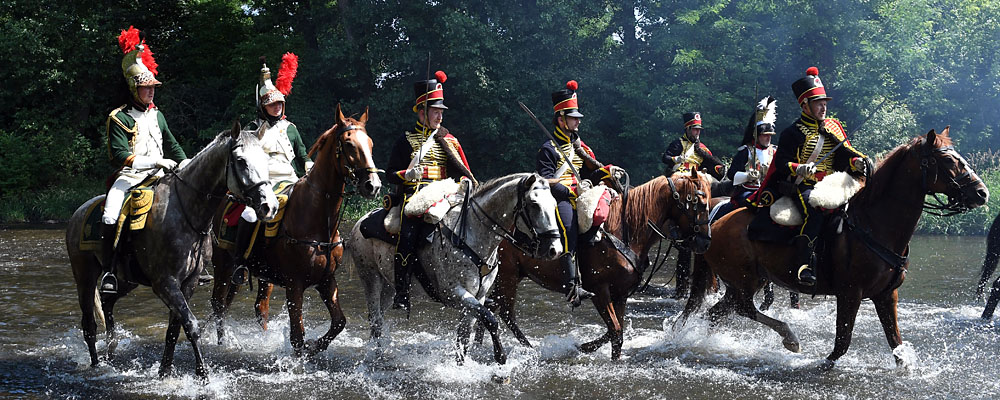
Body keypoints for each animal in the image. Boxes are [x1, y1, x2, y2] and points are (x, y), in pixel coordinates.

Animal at [66, 123, 278, 378]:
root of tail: (78, 212)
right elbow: (191, 325)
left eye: (266, 159)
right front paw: (203, 375)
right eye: (241, 161)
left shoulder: (188, 283)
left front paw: (165, 371)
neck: (186, 210)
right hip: (84, 276)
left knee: (108, 302)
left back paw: (110, 351)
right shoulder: (166, 283)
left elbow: (174, 330)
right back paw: (97, 365)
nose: (269, 206)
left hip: (127, 279)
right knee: (89, 324)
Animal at [210, 105, 381, 356]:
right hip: (223, 266)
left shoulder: (326, 280)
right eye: (349, 144)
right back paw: (223, 344)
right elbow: (297, 336)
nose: (373, 185)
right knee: (218, 305)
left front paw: (316, 345)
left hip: (262, 276)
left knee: (259, 307)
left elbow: (339, 322)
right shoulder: (295, 285)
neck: (318, 221)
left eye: (370, 143)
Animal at [348, 173, 563, 364]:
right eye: (534, 204)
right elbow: (490, 319)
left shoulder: (478, 297)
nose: (555, 249)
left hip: (389, 286)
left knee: (378, 320)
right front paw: (500, 356)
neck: (471, 235)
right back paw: (377, 358)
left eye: (554, 204)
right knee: (375, 321)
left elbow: (464, 337)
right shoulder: (455, 293)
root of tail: (359, 222)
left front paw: (462, 366)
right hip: (371, 279)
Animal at [479, 171, 712, 359]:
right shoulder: (599, 291)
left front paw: (589, 348)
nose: (705, 242)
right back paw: (529, 348)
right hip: (508, 275)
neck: (626, 230)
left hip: (511, 275)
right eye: (700, 203)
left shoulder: (620, 294)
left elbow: (616, 331)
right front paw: (587, 348)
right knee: (506, 312)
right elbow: (616, 332)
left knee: (490, 307)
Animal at [680, 127, 988, 369]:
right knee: (744, 308)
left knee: (717, 313)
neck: (873, 223)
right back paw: (790, 338)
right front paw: (821, 364)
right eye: (947, 159)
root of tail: (715, 222)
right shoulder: (850, 294)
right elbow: (841, 344)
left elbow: (896, 345)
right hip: (747, 281)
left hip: (742, 283)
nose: (982, 193)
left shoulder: (886, 295)